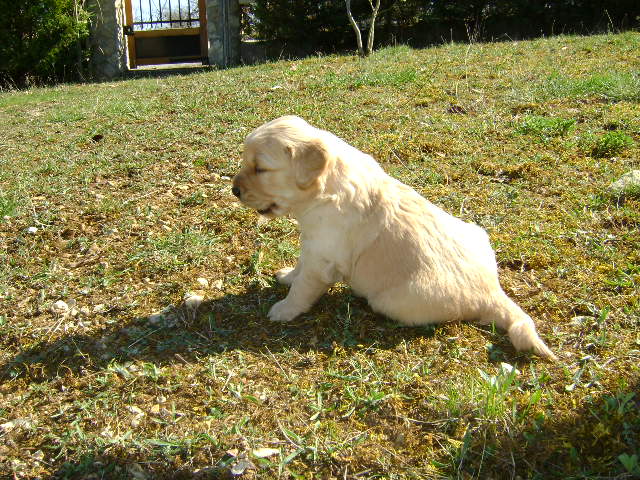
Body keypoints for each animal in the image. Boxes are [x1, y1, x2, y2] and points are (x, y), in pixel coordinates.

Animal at [232, 114, 556, 358]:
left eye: (260, 169)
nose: (234, 190)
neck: (325, 188)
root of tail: (491, 291)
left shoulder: (323, 257)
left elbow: (303, 288)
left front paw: (285, 309)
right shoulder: (312, 244)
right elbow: (299, 269)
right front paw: (287, 275)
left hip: (390, 299)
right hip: (477, 233)